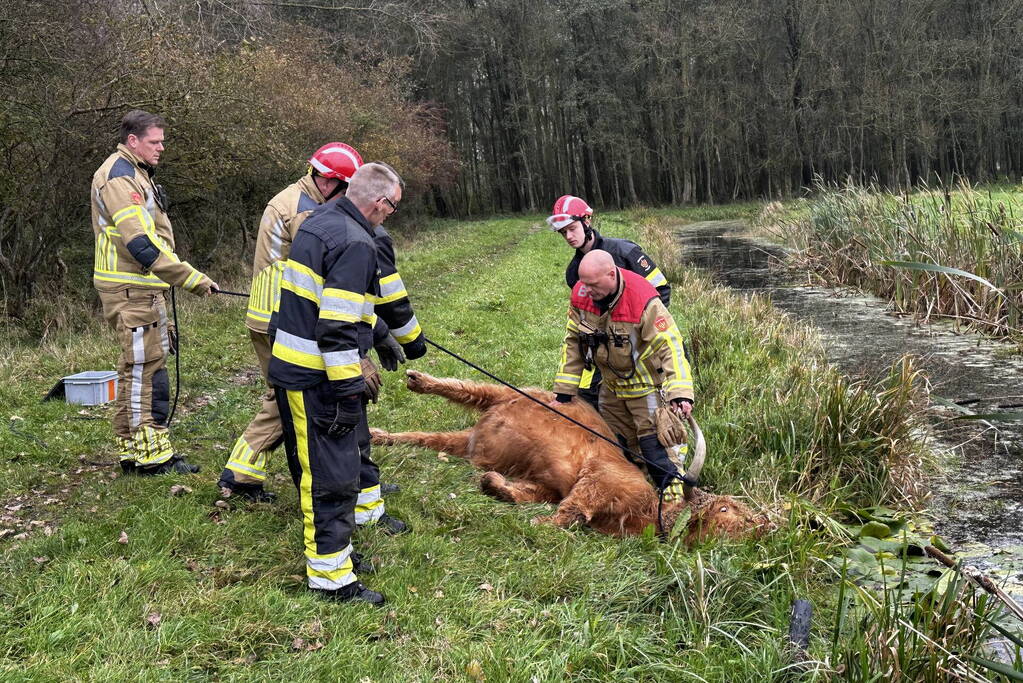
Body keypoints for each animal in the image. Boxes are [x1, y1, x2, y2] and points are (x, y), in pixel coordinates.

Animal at [370, 370, 769, 539]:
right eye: (726, 509)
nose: (766, 524)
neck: (640, 515)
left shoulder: (546, 485)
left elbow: (529, 496)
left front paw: (492, 484)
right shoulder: (598, 478)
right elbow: (570, 513)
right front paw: (535, 524)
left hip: (461, 439)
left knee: (425, 437)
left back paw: (380, 435)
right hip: (507, 393)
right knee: (467, 387)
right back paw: (418, 379)